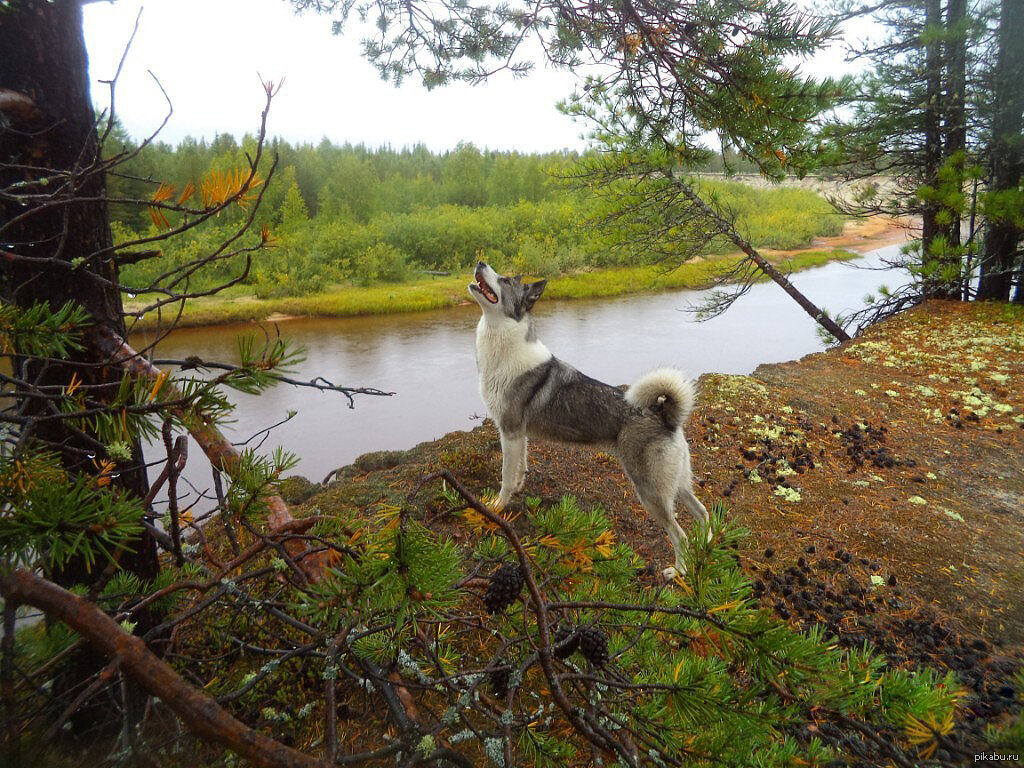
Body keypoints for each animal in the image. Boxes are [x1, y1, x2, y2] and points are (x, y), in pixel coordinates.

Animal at [468, 262, 708, 581]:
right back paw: (708, 545)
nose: (480, 263)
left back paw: (678, 571)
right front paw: (518, 489)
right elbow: (519, 469)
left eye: (504, 281)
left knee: (679, 534)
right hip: (676, 483)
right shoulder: (519, 436)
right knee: (702, 512)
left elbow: (506, 476)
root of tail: (666, 416)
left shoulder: (509, 431)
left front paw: (497, 506)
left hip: (652, 491)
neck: (504, 341)